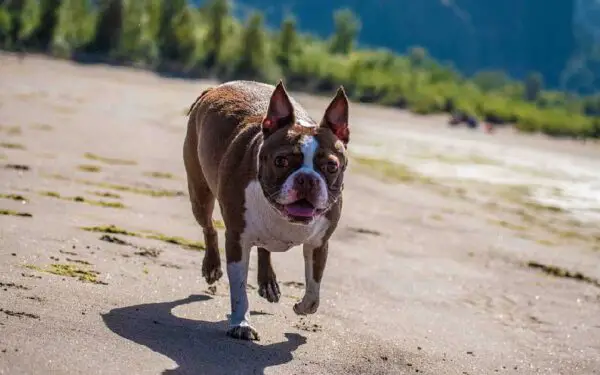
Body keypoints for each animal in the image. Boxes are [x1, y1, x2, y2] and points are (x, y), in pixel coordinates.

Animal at [185, 79, 350, 340]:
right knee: (209, 227)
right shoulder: (237, 239)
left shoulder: (319, 244)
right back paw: (212, 266)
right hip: (199, 193)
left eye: (331, 167)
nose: (307, 179)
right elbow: (239, 289)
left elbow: (314, 293)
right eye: (281, 161)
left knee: (264, 247)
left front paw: (301, 307)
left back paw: (268, 282)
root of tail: (214, 88)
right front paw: (241, 323)